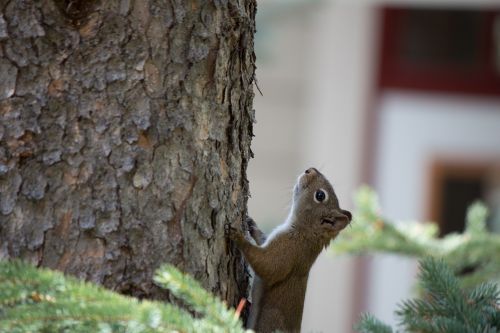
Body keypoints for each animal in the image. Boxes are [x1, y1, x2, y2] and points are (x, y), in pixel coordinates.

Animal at [227, 167, 352, 330]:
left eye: (320, 195)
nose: (310, 170)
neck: (305, 233)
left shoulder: (289, 251)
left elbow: (268, 266)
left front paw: (238, 237)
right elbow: (262, 239)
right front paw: (251, 224)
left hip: (270, 318)